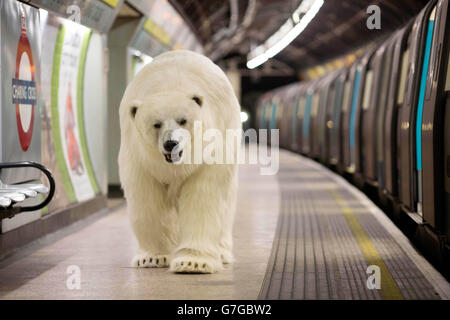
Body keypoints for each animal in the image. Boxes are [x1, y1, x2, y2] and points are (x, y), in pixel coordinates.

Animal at [118, 49, 241, 272]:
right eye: (156, 124)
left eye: (183, 120)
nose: (171, 143)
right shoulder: (140, 157)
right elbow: (147, 199)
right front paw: (152, 258)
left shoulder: (209, 151)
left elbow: (203, 196)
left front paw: (193, 262)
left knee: (227, 204)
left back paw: (222, 252)